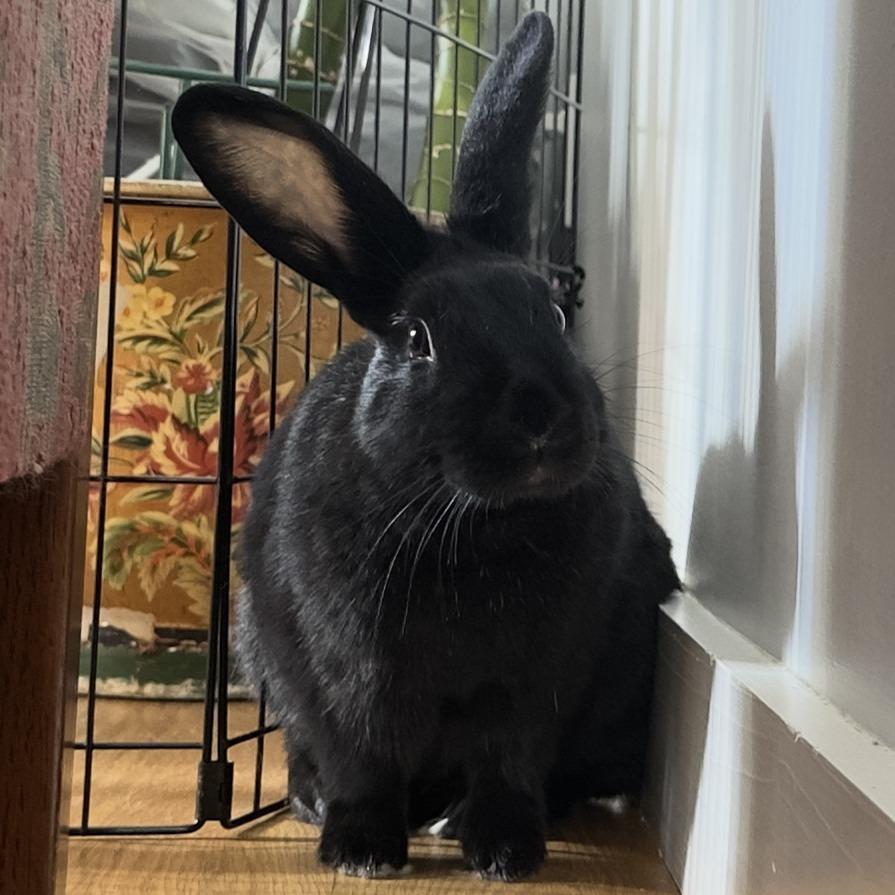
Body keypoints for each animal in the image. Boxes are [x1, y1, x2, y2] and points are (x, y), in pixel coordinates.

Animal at [172, 11, 679, 882]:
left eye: (552, 311)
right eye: (417, 339)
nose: (540, 418)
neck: (473, 521)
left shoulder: (535, 678)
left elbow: (508, 760)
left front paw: (506, 852)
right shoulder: (349, 674)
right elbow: (362, 758)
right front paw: (360, 851)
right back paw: (316, 803)